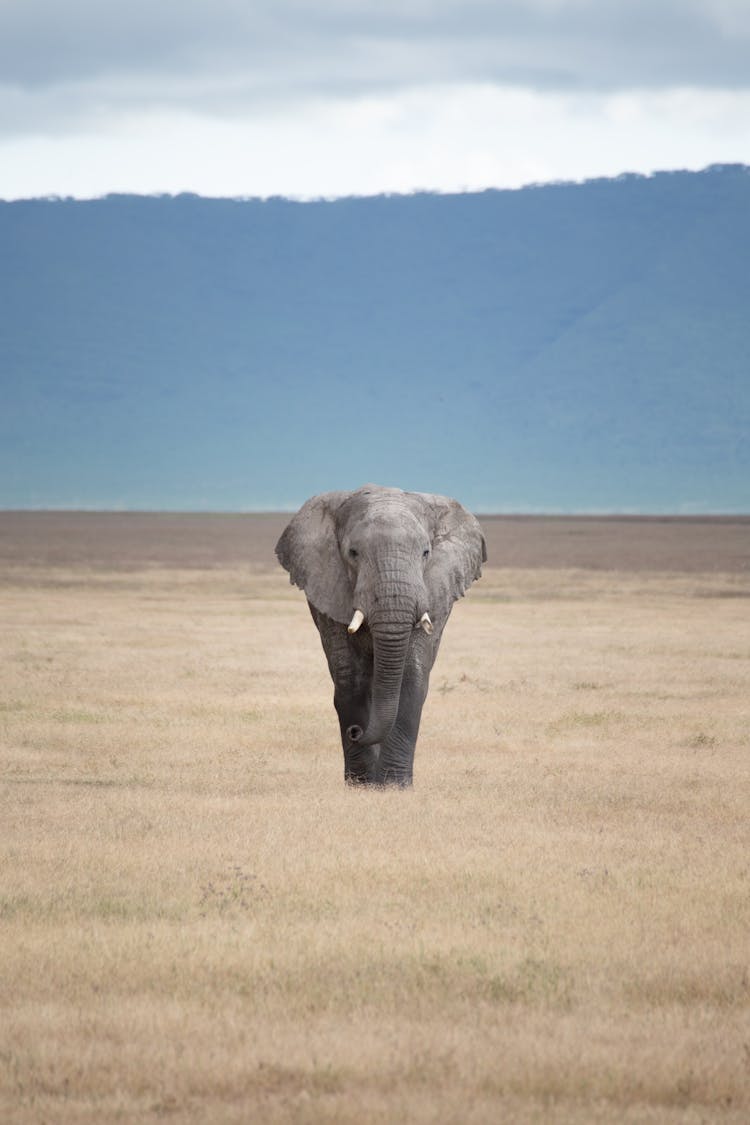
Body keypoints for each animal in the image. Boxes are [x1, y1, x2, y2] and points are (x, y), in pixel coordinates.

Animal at [275, 481, 488, 783]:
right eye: (353, 553)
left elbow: (411, 676)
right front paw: (362, 785)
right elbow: (349, 678)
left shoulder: (433, 592)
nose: (355, 732)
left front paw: (393, 785)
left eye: (425, 553)